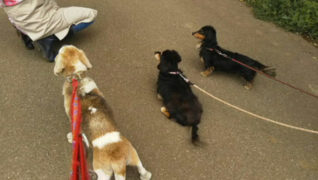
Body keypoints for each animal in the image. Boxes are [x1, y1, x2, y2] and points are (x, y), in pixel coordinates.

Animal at [54, 45, 152, 179]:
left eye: (59, 51)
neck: (77, 78)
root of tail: (118, 160)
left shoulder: (72, 119)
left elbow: (76, 132)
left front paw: (71, 137)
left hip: (102, 171)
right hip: (133, 154)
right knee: (141, 168)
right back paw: (145, 175)